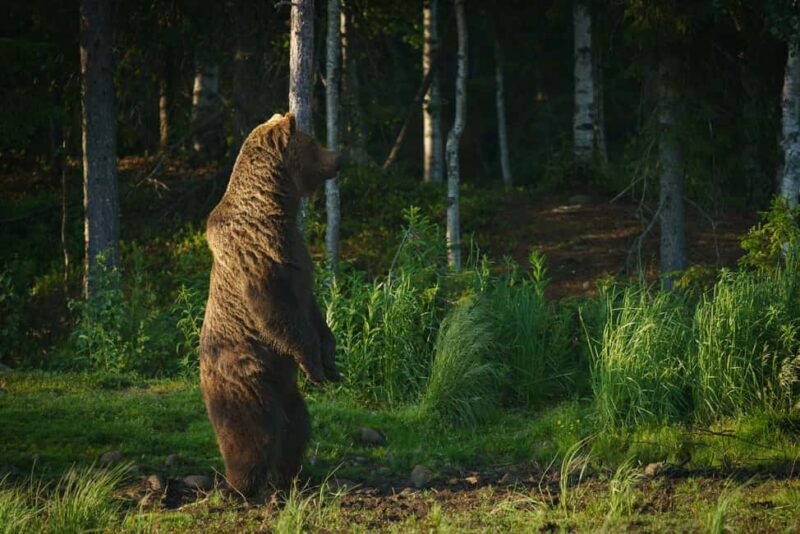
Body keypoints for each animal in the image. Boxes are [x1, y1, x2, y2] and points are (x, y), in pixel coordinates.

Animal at [199, 112, 342, 498]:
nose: (338, 156)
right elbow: (277, 311)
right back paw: (242, 484)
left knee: (297, 424)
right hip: (245, 372)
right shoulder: (259, 254)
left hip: (283, 384)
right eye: (313, 142)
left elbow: (311, 308)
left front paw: (331, 362)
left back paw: (290, 476)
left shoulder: (295, 251)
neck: (274, 206)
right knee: (254, 429)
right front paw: (316, 365)